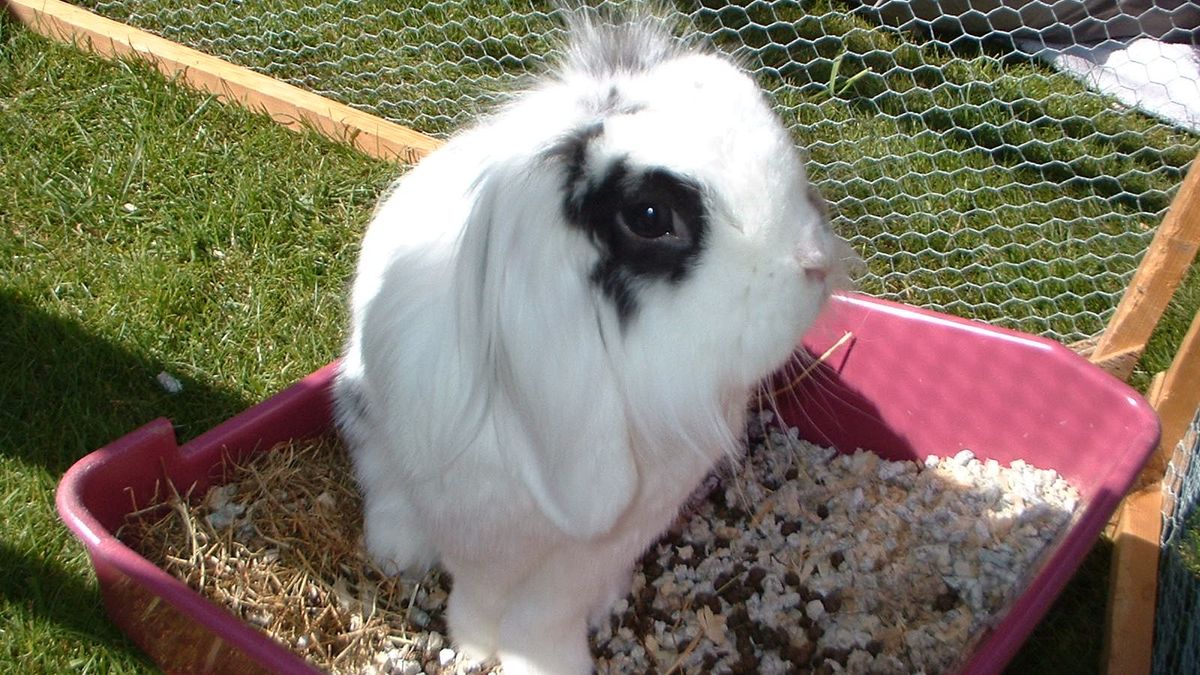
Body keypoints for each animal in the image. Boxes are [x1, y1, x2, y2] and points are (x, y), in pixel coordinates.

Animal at [333, 8, 848, 675]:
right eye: (650, 216)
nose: (815, 264)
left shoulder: (608, 543)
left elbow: (543, 617)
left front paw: (551, 660)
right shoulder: (477, 531)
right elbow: (481, 599)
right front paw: (473, 647)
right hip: (359, 407)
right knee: (378, 473)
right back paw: (396, 548)